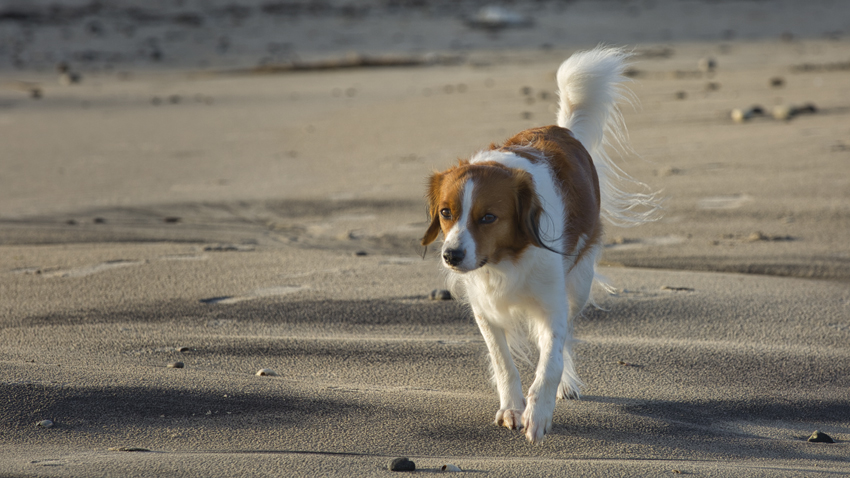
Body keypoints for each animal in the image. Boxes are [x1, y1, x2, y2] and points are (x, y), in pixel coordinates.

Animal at [420, 46, 660, 442]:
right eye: (445, 212)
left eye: (488, 217)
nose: (451, 256)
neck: (505, 261)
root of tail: (564, 130)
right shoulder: (484, 308)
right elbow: (504, 361)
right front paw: (511, 407)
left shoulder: (552, 304)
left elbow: (551, 360)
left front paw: (539, 412)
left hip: (578, 283)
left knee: (567, 338)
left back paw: (566, 383)